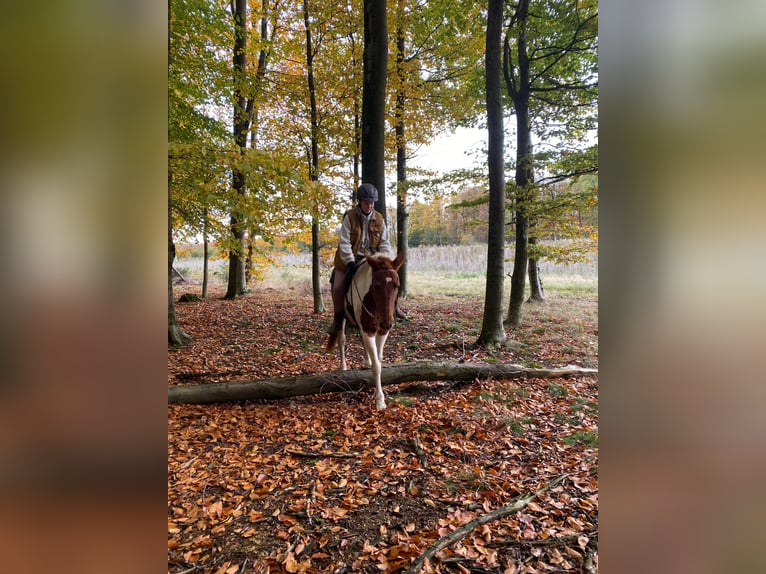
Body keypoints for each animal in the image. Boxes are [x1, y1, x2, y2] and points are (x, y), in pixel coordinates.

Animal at [326, 252, 404, 409]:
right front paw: (380, 400)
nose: (387, 323)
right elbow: (376, 366)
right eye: (375, 285)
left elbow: (378, 360)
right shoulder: (368, 330)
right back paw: (343, 366)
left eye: (396, 285)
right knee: (341, 339)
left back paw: (366, 361)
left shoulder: (382, 332)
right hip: (342, 317)